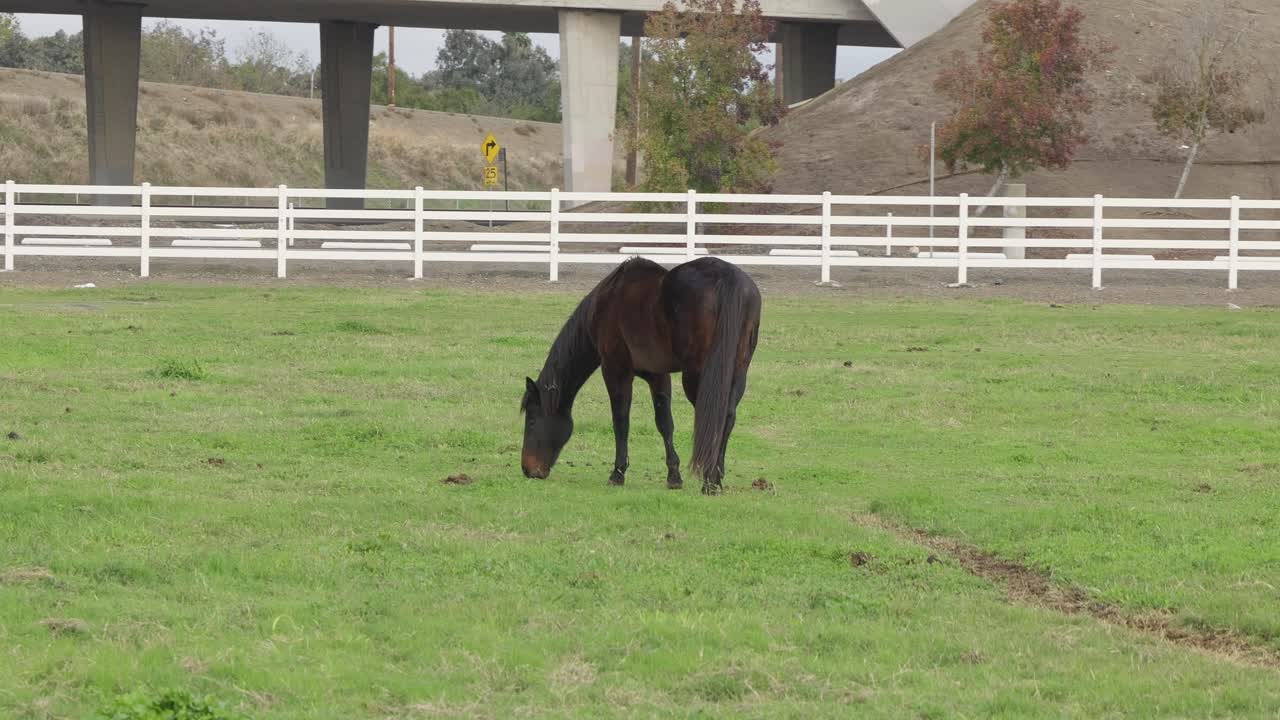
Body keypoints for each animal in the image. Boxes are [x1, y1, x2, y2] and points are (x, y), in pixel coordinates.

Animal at [520, 256, 761, 495]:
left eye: (531, 421)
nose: (528, 470)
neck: (607, 301)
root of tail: (728, 278)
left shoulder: (616, 369)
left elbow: (621, 420)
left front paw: (617, 473)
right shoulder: (658, 375)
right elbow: (665, 422)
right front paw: (674, 476)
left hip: (698, 376)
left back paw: (709, 481)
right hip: (737, 372)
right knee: (727, 416)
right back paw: (716, 479)